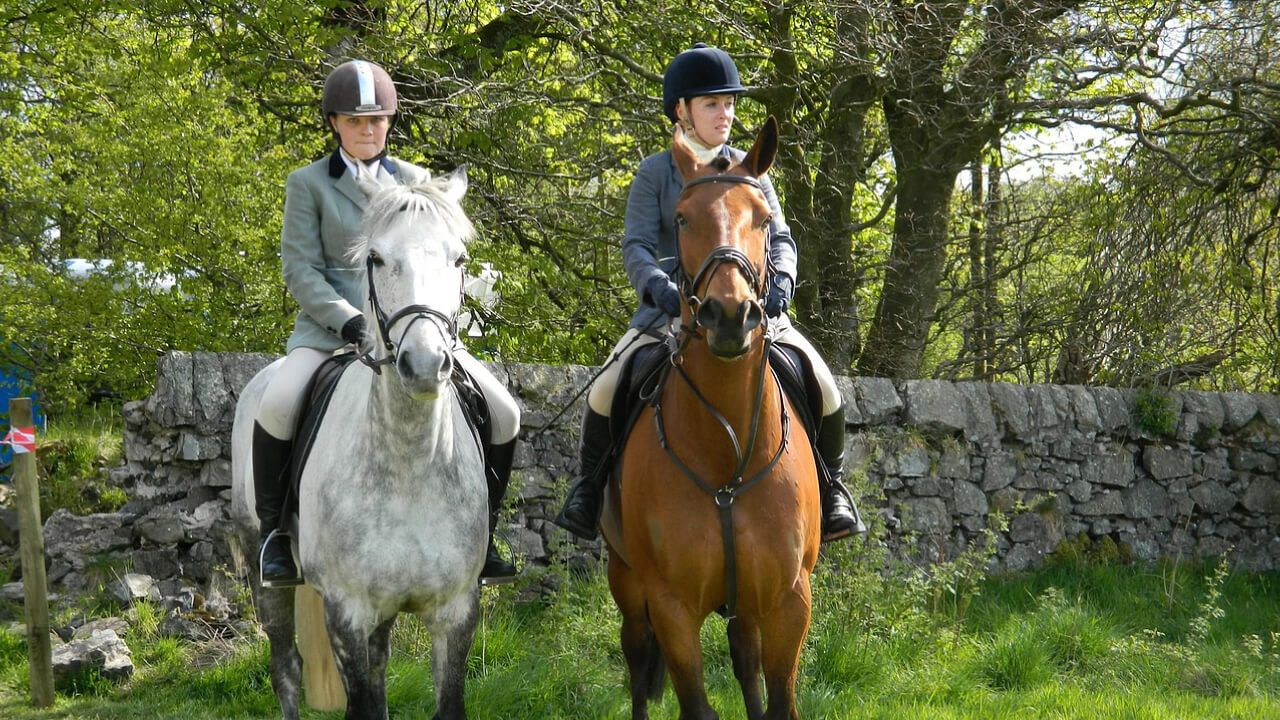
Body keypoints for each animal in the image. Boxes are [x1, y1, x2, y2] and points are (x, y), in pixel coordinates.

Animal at [600, 116, 821, 720]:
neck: (727, 458)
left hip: (744, 602)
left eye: (765, 218)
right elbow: (695, 703)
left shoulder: (789, 600)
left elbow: (779, 700)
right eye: (681, 218)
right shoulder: (671, 606)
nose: (730, 315)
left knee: (745, 660)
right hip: (625, 579)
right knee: (636, 658)